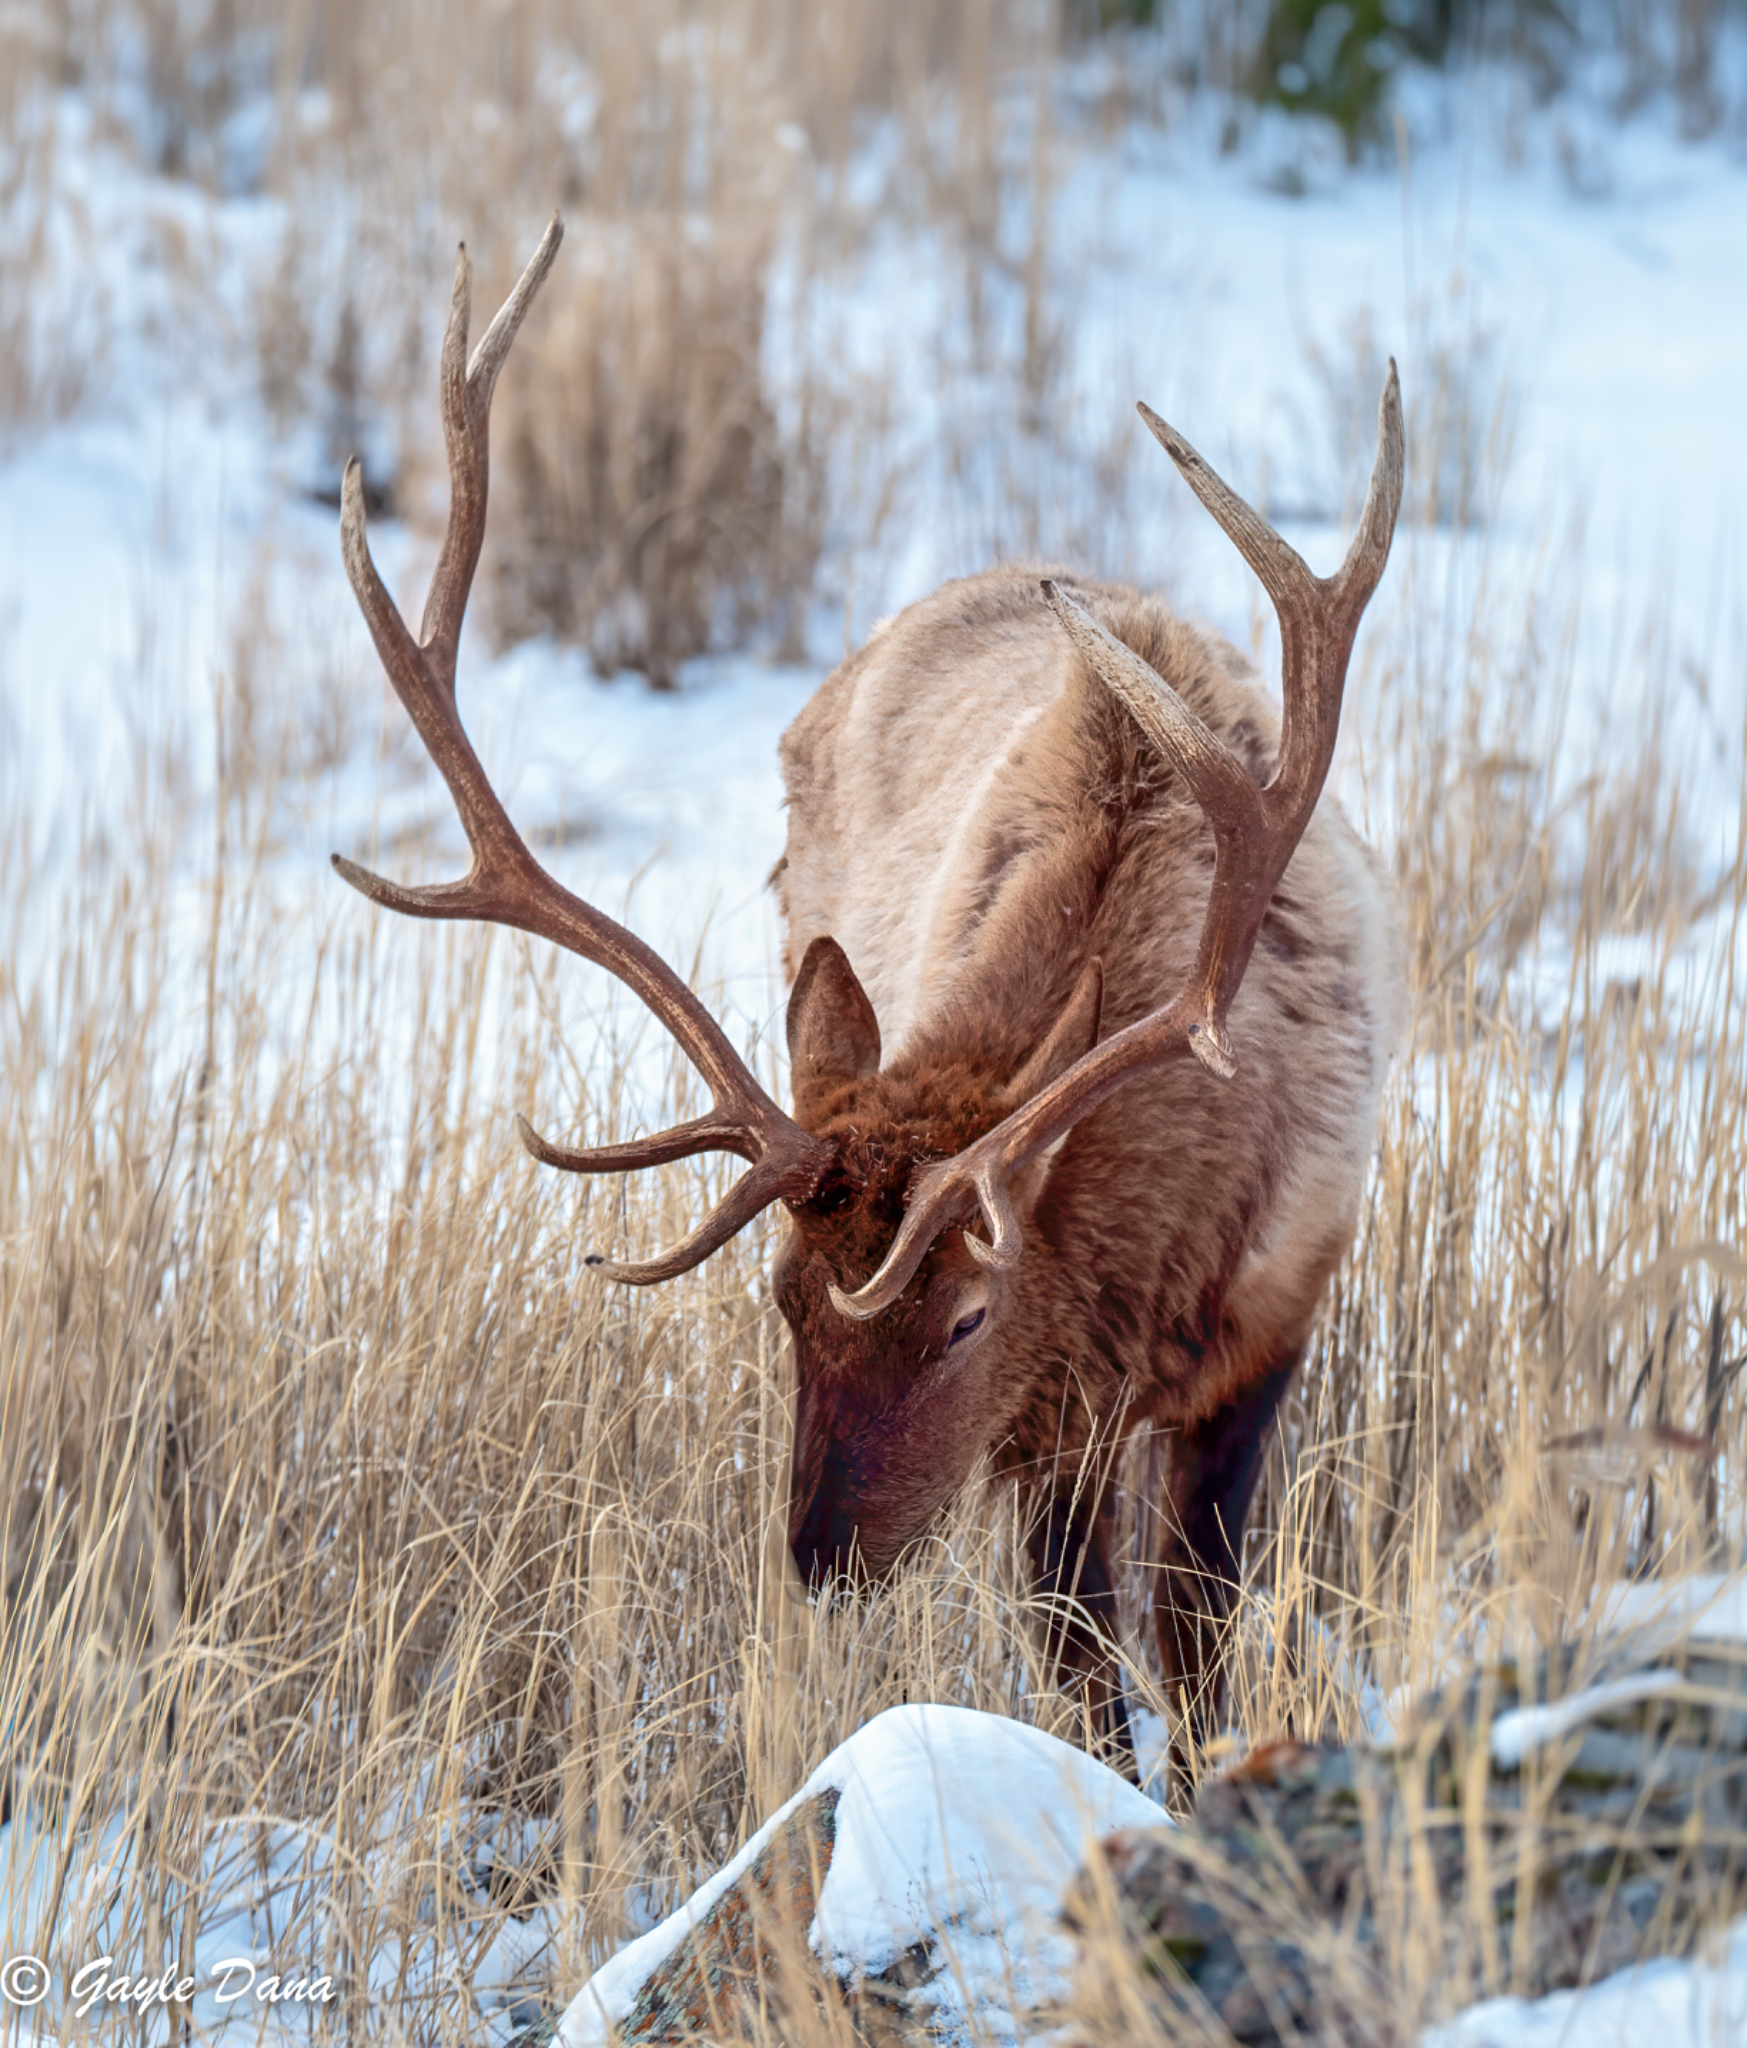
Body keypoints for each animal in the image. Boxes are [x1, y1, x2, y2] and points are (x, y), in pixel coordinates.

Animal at [333, 217, 1406, 1772]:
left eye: (963, 1317)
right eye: (783, 1299)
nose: (820, 1557)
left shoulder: (1271, 1318)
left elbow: (1196, 1651)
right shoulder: (1052, 1424)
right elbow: (1086, 1680)